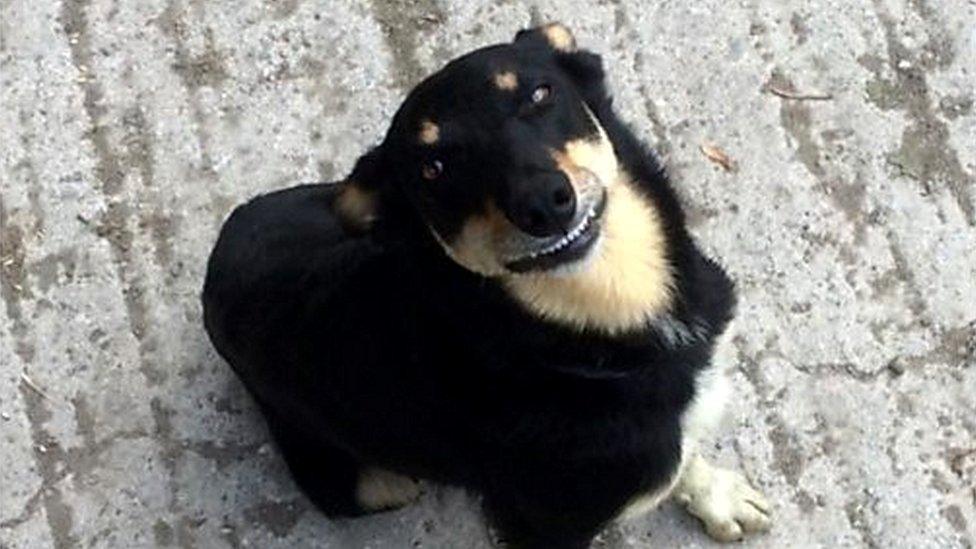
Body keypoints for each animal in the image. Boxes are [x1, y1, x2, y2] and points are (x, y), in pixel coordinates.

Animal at [204, 23, 772, 544]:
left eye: (539, 94)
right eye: (433, 168)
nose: (544, 203)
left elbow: (688, 455)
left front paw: (716, 494)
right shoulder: (540, 525)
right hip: (367, 483)